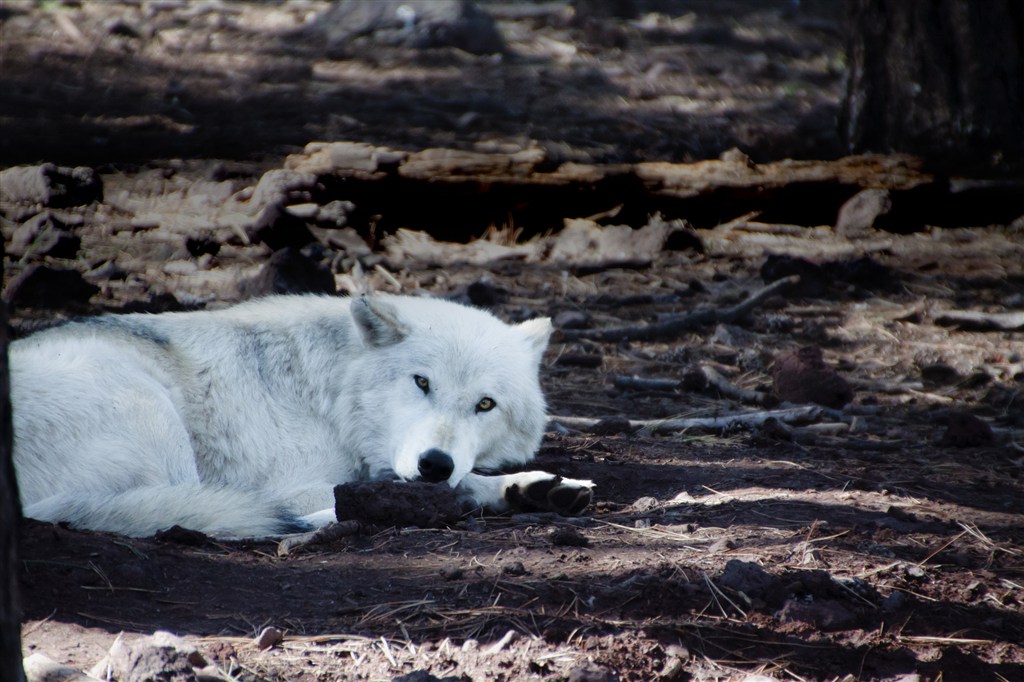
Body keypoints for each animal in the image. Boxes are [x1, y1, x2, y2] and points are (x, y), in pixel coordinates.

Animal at [9, 292, 593, 536]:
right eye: (422, 382)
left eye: (485, 404)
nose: (434, 464)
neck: (329, 396)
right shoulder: (295, 482)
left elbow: (466, 479)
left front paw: (535, 487)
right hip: (150, 413)